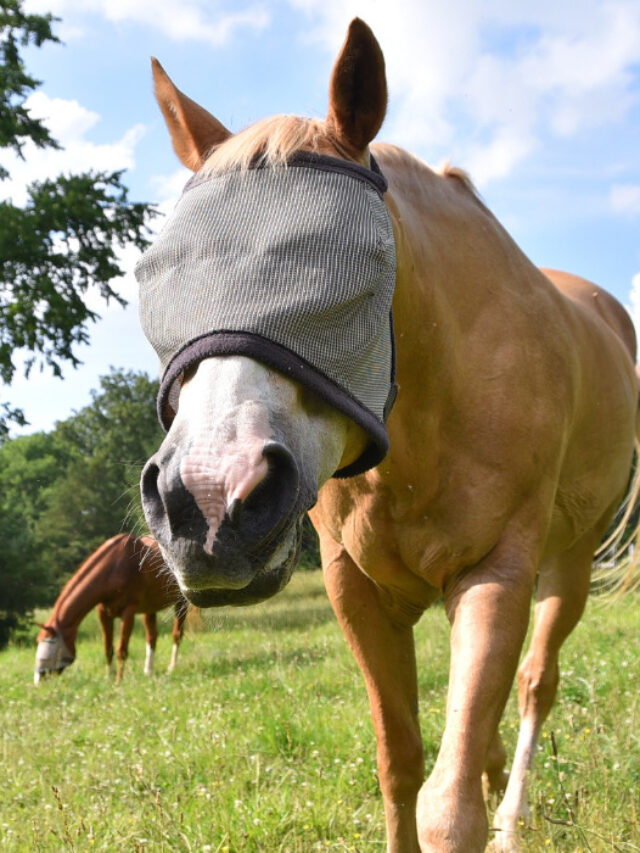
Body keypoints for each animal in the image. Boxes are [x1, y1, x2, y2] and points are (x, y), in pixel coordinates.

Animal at [34, 533, 188, 684]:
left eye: (50, 641)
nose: (38, 680)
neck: (114, 569)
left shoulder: (128, 612)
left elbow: (122, 650)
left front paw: (118, 681)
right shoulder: (104, 613)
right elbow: (108, 648)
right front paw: (109, 677)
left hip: (181, 602)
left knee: (177, 634)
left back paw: (172, 667)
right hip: (150, 608)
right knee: (152, 637)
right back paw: (148, 672)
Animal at [136, 19, 639, 852]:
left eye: (359, 270)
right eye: (158, 272)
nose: (207, 503)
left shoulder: (495, 572)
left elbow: (449, 804)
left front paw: (484, 810)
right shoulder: (358, 590)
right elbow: (400, 762)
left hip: (568, 560)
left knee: (535, 683)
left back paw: (512, 817)